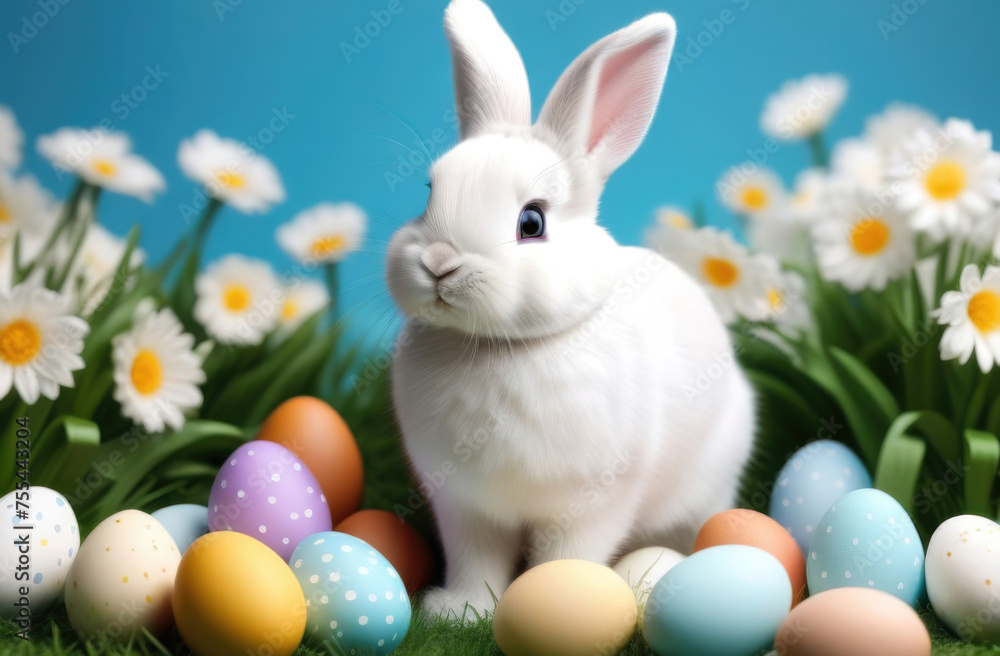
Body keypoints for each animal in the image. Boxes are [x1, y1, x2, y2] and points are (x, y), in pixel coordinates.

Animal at [386, 0, 756, 620]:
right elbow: (475, 561)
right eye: (429, 192)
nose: (439, 262)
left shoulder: (593, 501)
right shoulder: (465, 506)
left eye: (532, 221)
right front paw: (461, 612)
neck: (500, 347)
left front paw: (561, 605)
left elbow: (567, 555)